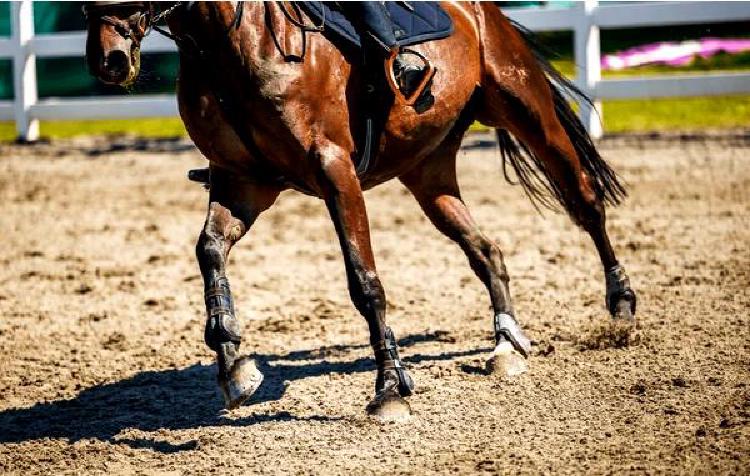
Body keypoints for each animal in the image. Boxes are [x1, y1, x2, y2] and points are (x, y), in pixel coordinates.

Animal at [86, 0, 640, 420]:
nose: (107, 59)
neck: (230, 47)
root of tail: (483, 12)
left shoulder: (335, 172)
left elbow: (364, 282)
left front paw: (391, 387)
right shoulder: (242, 183)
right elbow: (210, 252)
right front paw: (233, 365)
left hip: (527, 112)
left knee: (585, 202)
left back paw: (621, 304)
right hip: (429, 174)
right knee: (487, 251)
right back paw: (504, 344)